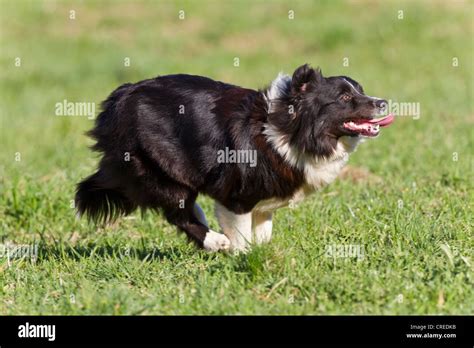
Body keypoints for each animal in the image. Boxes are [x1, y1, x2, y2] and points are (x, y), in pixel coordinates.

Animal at [76, 64, 394, 251]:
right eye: (344, 98)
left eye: (361, 91)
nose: (383, 102)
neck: (289, 131)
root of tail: (121, 95)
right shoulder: (237, 195)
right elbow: (241, 236)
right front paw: (241, 256)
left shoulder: (265, 200)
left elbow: (263, 233)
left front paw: (262, 252)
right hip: (156, 162)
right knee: (176, 211)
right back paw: (216, 241)